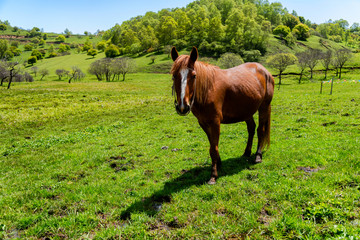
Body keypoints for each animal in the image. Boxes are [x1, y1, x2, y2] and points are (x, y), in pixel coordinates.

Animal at [170, 47, 274, 186]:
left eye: (194, 76)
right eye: (174, 75)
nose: (183, 107)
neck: (208, 89)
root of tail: (264, 70)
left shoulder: (215, 122)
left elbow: (213, 148)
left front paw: (213, 176)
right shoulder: (203, 123)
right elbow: (212, 145)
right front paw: (218, 164)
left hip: (264, 107)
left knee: (260, 130)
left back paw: (258, 156)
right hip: (247, 110)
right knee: (251, 129)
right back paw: (246, 152)